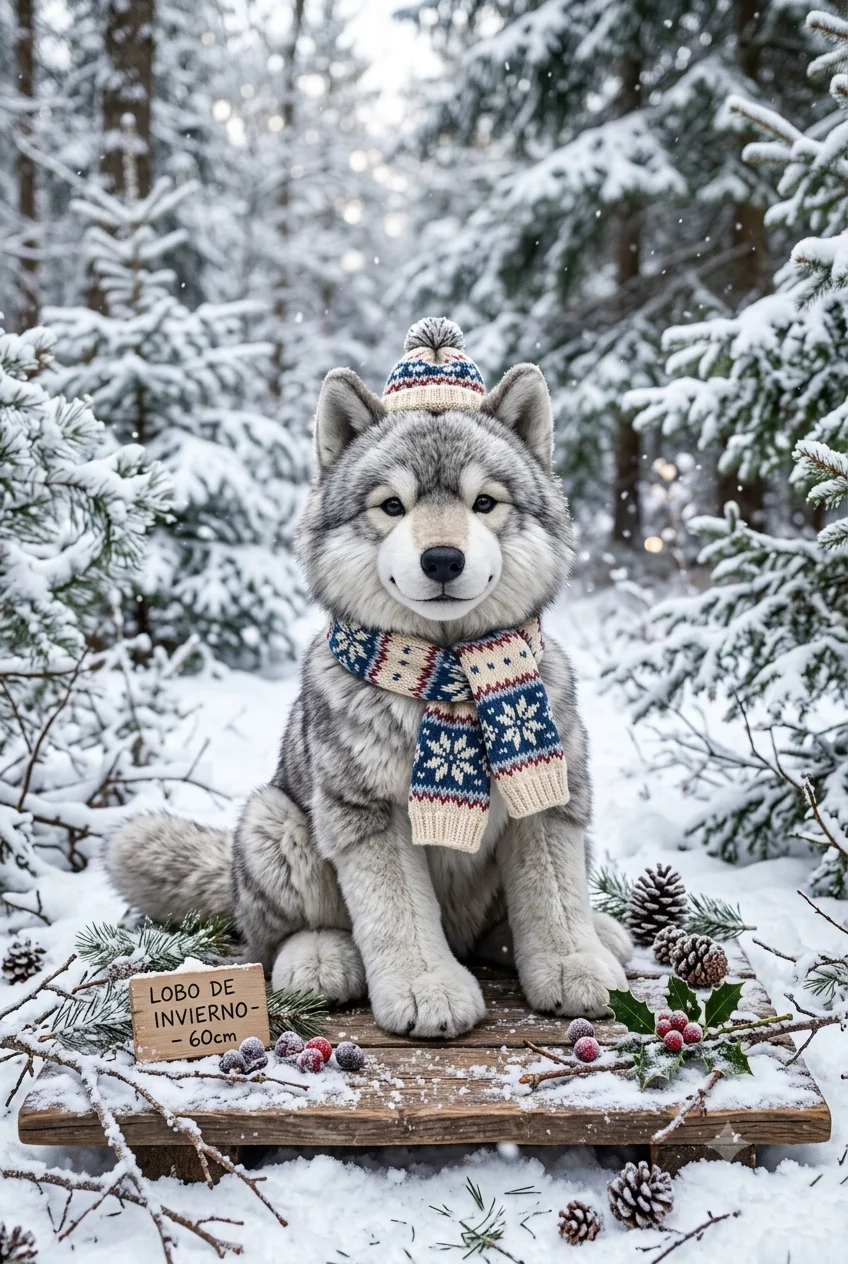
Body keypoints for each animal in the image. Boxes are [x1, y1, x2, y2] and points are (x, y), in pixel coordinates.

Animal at [105, 320, 630, 1037]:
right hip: (275, 821)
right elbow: (397, 917)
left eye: (484, 503)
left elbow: (555, 904)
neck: (449, 676)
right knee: (277, 936)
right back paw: (320, 958)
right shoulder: (366, 814)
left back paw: (600, 935)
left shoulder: (550, 803)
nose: (443, 559)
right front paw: (426, 988)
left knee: (506, 929)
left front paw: (575, 964)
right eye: (391, 506)